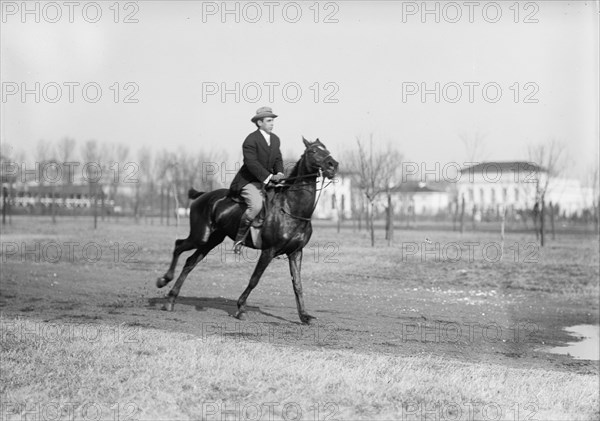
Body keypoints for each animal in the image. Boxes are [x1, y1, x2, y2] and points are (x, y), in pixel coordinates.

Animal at [157, 138, 338, 324]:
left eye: (326, 150)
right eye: (313, 151)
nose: (333, 165)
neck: (291, 208)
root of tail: (203, 195)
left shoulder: (295, 252)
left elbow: (298, 285)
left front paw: (304, 315)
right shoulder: (268, 251)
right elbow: (254, 280)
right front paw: (241, 307)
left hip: (212, 240)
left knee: (190, 262)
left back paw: (171, 299)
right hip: (200, 236)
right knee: (178, 246)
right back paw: (164, 280)